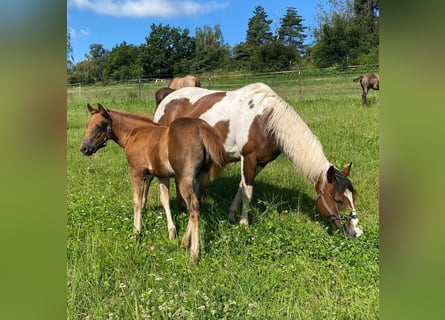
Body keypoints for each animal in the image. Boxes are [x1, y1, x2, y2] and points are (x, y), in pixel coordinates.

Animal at [78, 104, 227, 262]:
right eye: (88, 125)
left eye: (99, 126)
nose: (84, 148)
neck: (134, 133)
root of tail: (201, 128)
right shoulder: (160, 175)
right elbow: (162, 200)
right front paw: (171, 232)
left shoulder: (137, 172)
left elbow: (137, 201)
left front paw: (136, 232)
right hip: (202, 176)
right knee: (198, 203)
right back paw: (184, 242)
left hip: (184, 179)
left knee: (192, 206)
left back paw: (194, 254)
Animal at [154, 83, 362, 238]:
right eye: (338, 200)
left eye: (353, 197)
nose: (356, 231)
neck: (267, 121)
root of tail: (168, 97)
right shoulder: (249, 158)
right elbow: (248, 191)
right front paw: (244, 223)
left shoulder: (261, 162)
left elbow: (241, 187)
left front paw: (232, 215)